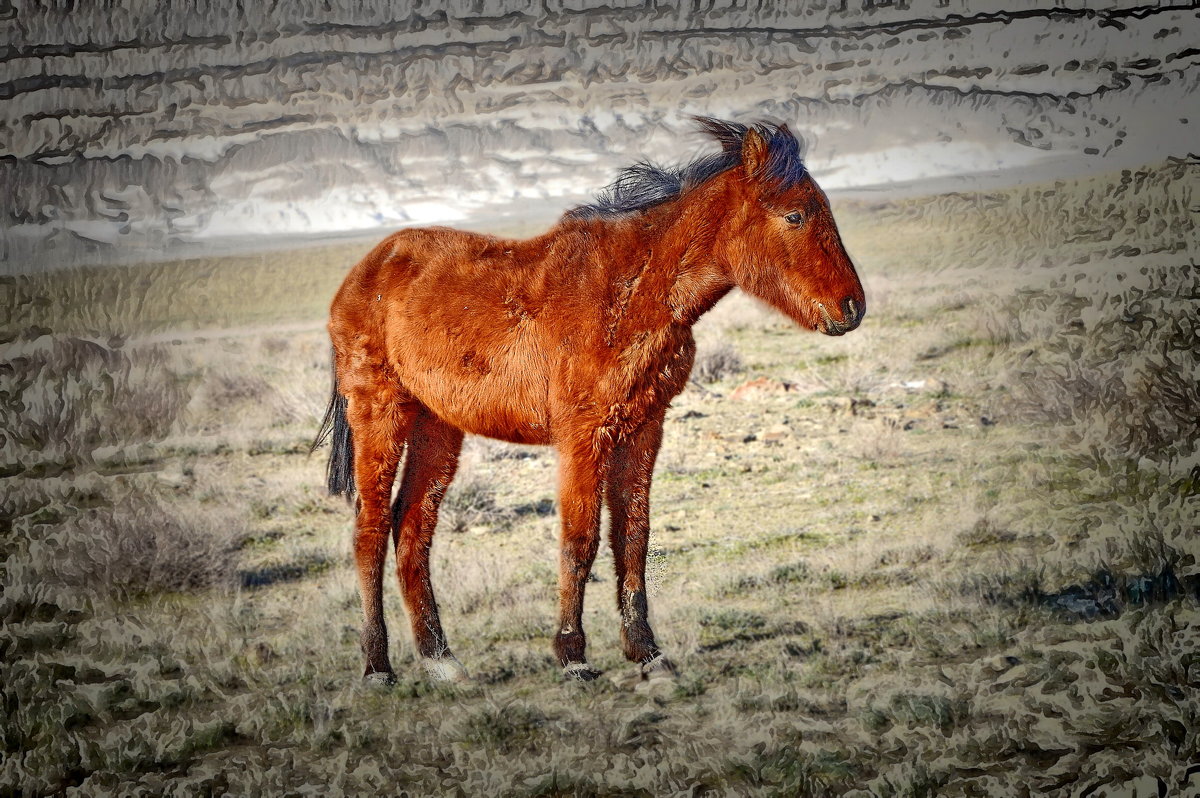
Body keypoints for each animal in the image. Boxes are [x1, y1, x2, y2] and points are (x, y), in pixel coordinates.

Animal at [314, 117, 868, 686]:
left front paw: (646, 652)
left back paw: (440, 659)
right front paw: (572, 654)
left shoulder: (644, 429)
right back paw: (378, 666)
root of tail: (363, 272)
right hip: (380, 415)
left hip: (438, 427)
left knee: (412, 528)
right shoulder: (584, 436)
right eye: (795, 215)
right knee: (370, 530)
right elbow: (579, 540)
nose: (852, 307)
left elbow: (633, 538)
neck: (630, 294)